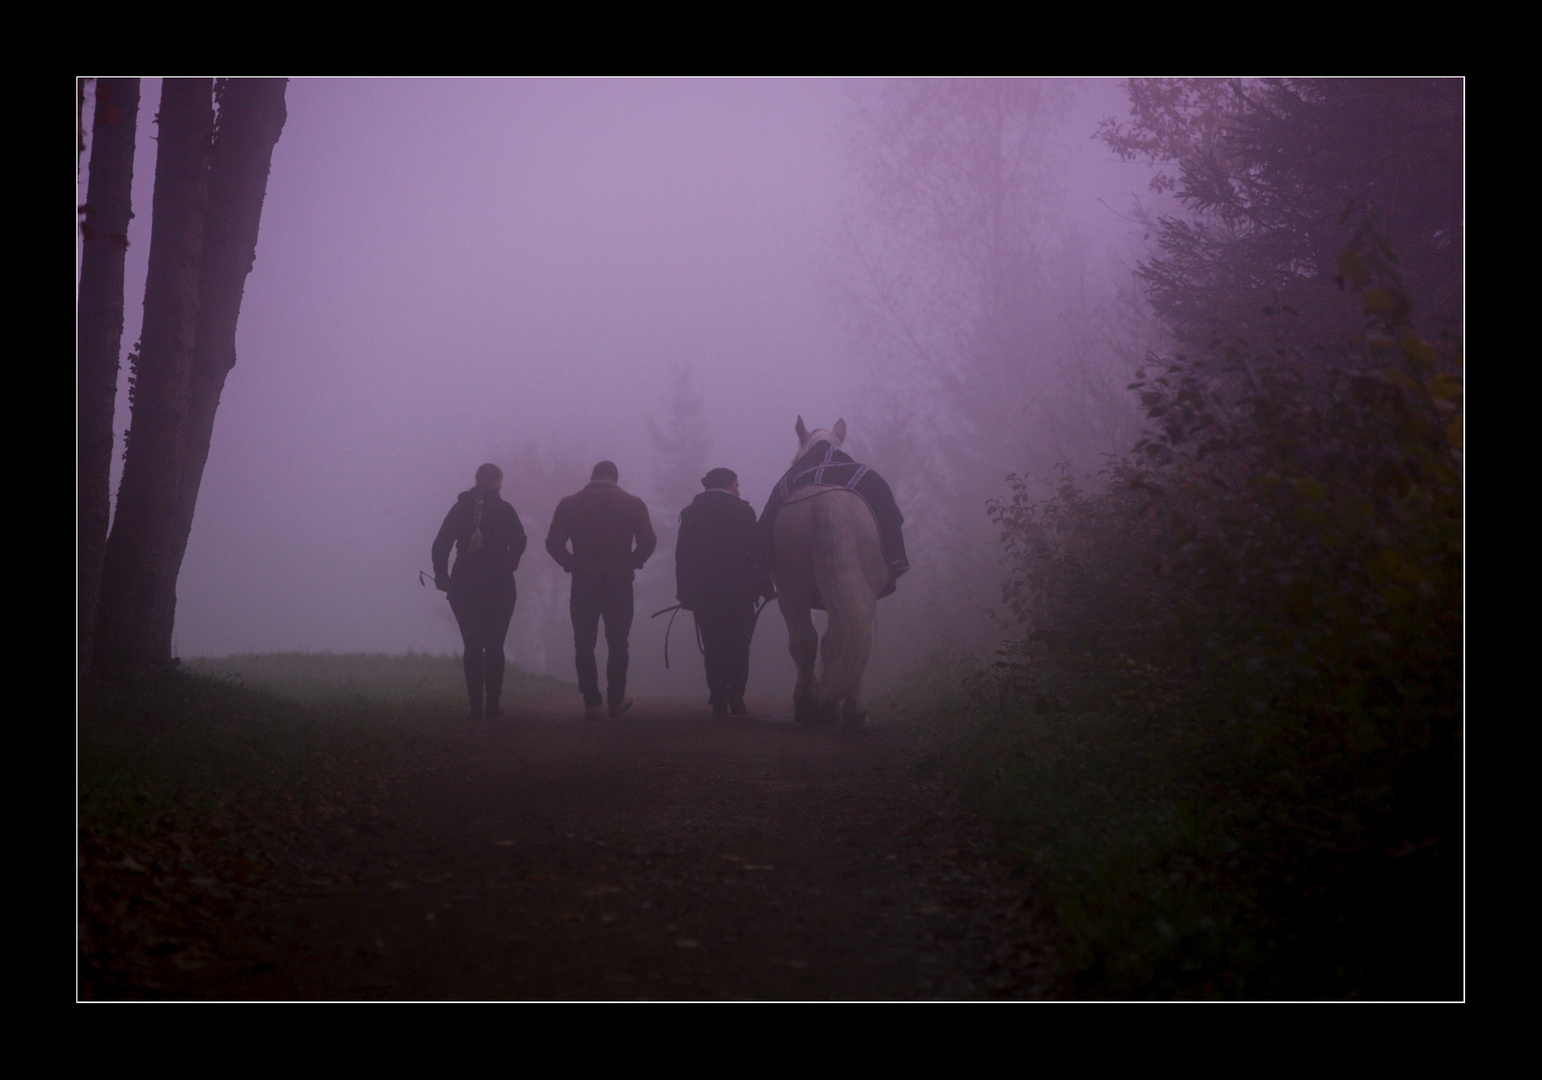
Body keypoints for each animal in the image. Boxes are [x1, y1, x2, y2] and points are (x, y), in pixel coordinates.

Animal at [771, 416, 894, 731]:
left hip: (792, 591)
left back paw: (808, 706)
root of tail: (829, 499)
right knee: (853, 638)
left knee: (806, 640)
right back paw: (851, 711)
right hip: (861, 591)